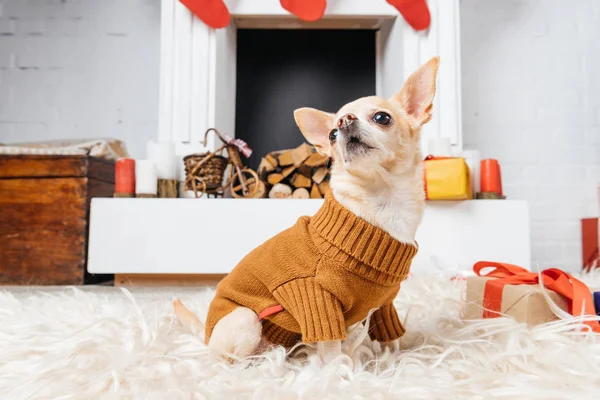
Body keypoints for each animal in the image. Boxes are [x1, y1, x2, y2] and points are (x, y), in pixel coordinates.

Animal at [173, 57, 440, 366]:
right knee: (225, 358)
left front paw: (395, 360)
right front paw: (341, 371)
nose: (343, 122)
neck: (381, 203)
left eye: (382, 118)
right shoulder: (316, 298)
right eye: (332, 135)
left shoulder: (384, 303)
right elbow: (331, 345)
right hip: (246, 318)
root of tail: (206, 336)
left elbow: (389, 336)